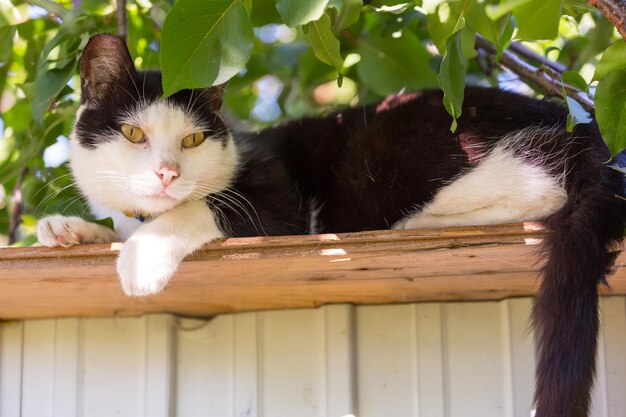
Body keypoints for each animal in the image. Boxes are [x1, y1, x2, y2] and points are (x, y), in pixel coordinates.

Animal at [36, 35, 620, 416]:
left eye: (194, 140)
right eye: (134, 133)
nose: (167, 173)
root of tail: (581, 125)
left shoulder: (278, 202)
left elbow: (203, 206)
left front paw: (143, 258)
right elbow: (123, 225)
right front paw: (71, 230)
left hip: (397, 153)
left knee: (541, 187)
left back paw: (415, 222)